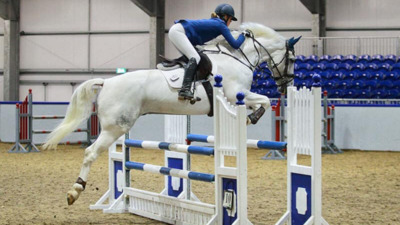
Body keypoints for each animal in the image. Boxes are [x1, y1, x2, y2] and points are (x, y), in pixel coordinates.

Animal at [43, 22, 300, 205]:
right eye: (293, 59)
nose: (286, 86)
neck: (239, 58)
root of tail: (106, 82)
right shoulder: (236, 94)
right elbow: (263, 100)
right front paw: (251, 118)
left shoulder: (238, 97)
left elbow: (261, 103)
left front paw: (251, 116)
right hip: (115, 127)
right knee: (89, 153)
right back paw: (75, 191)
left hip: (117, 127)